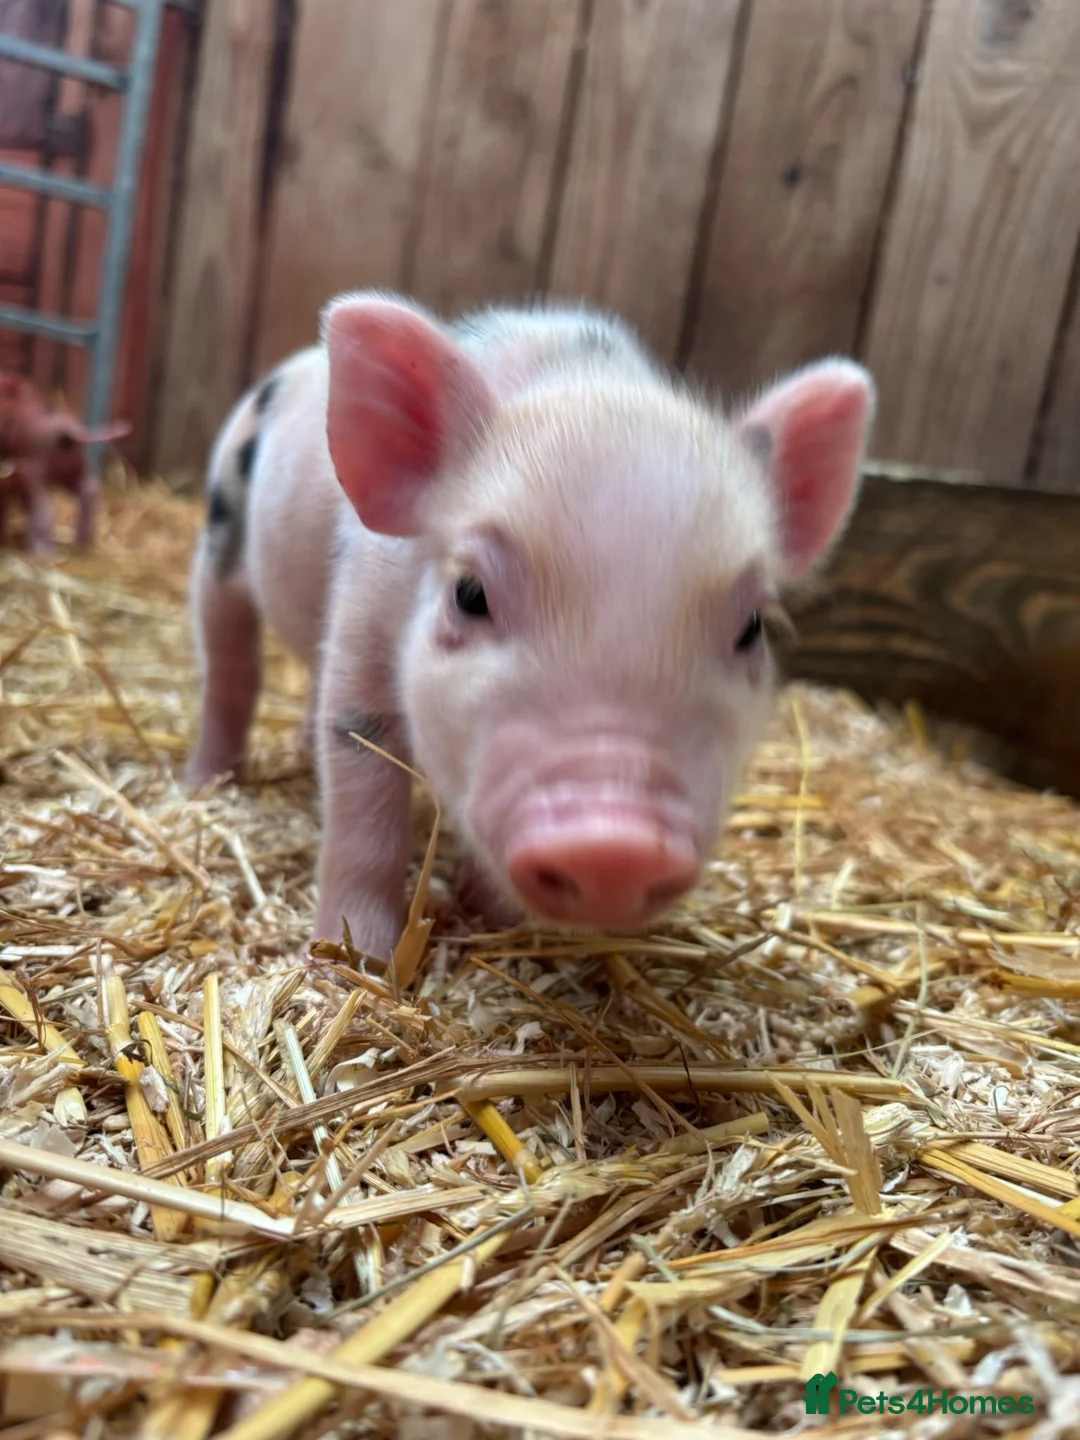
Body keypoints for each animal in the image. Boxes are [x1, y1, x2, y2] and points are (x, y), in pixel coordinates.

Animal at [0, 370, 130, 553]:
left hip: (34, 470)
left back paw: (44, 551)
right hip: (75, 467)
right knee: (90, 489)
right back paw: (83, 542)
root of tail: (68, 432)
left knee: (44, 506)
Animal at [186, 291, 875, 965]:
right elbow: (363, 786)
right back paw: (210, 781)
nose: (614, 847)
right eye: (469, 594)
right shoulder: (365, 607)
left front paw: (496, 918)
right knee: (230, 666)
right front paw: (357, 960)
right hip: (219, 534)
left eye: (752, 627)